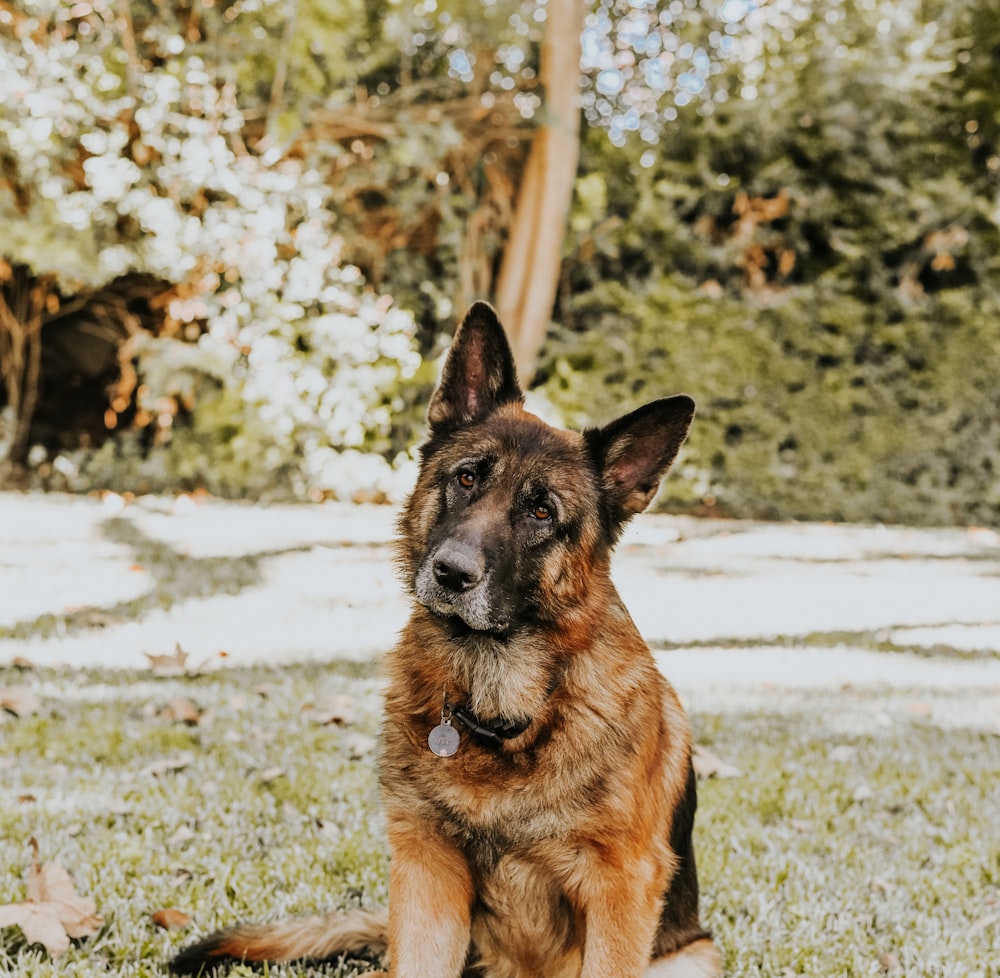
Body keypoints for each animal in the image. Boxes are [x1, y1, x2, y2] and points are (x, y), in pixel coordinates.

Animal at [172, 304, 720, 976]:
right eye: (465, 478)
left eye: (542, 513)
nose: (451, 573)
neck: (501, 705)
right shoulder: (426, 870)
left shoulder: (621, 888)